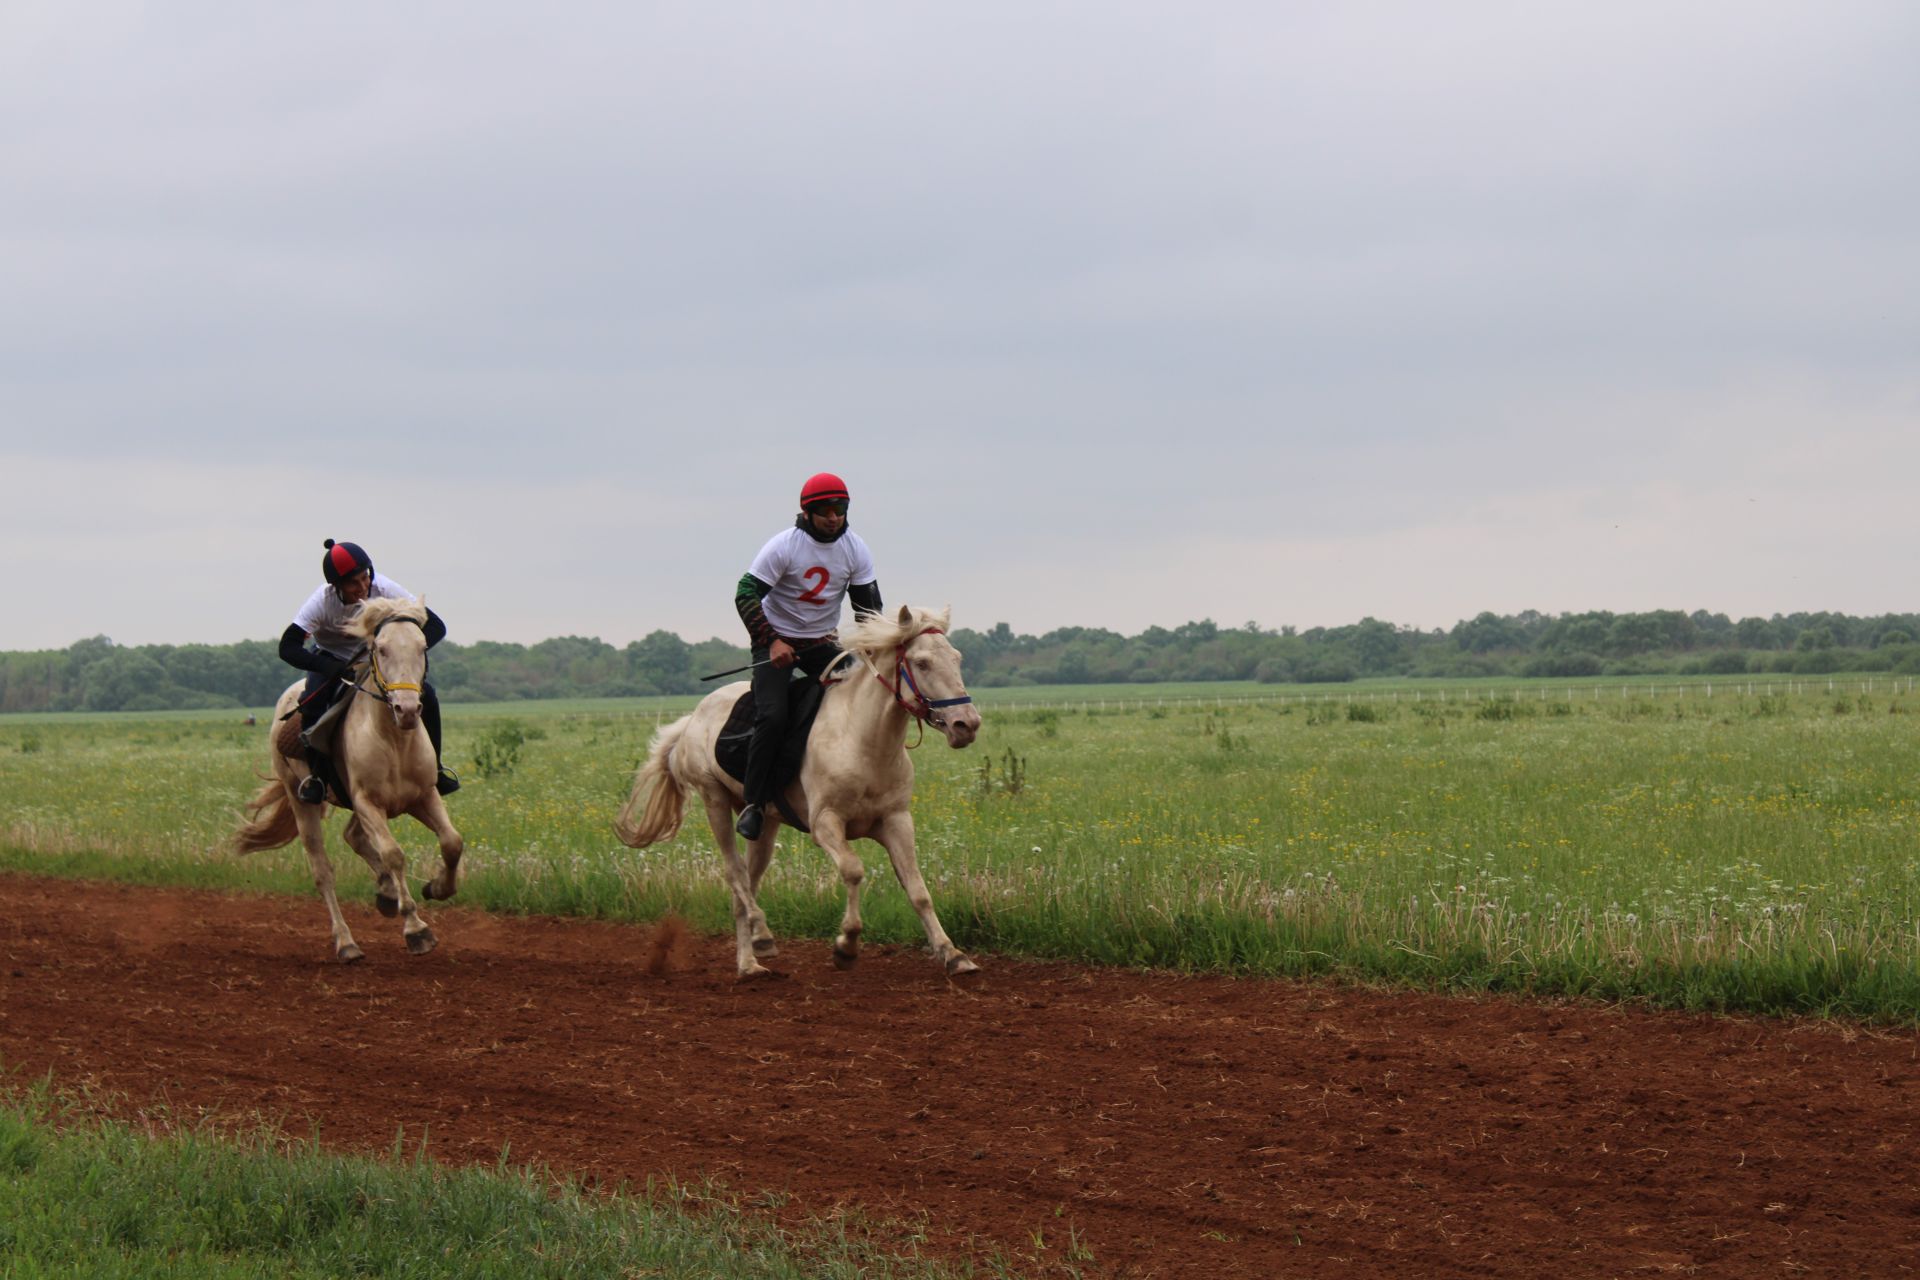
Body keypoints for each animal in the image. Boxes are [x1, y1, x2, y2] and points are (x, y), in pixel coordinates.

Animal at [232, 594, 464, 955]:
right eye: (381, 648)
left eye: (422, 647)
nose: (408, 710)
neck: (393, 740)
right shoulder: (368, 803)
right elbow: (393, 854)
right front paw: (416, 928)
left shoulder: (424, 796)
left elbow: (452, 842)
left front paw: (437, 888)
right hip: (303, 801)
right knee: (323, 871)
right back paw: (346, 941)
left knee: (352, 836)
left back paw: (386, 893)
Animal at [622, 606, 983, 974]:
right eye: (922, 663)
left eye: (956, 658)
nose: (966, 724)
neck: (863, 742)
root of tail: (692, 719)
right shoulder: (826, 823)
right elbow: (853, 870)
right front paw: (846, 945)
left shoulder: (897, 821)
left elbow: (918, 890)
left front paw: (953, 954)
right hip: (714, 800)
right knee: (735, 873)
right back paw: (761, 934)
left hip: (765, 824)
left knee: (746, 884)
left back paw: (749, 963)